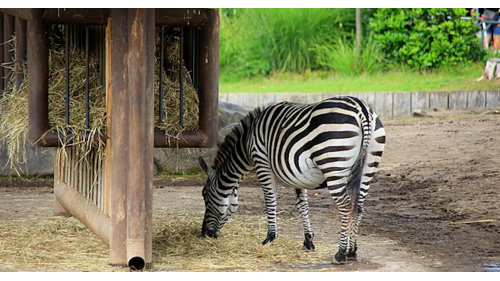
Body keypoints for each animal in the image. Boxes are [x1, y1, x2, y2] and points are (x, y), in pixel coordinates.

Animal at [199, 96, 386, 262]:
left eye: (205, 195)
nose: (204, 234)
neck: (247, 143)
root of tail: (362, 109)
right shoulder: (298, 174)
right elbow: (302, 204)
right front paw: (308, 240)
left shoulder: (262, 162)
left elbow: (270, 200)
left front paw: (270, 237)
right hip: (369, 164)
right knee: (358, 206)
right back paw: (353, 251)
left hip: (333, 162)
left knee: (346, 205)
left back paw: (341, 253)